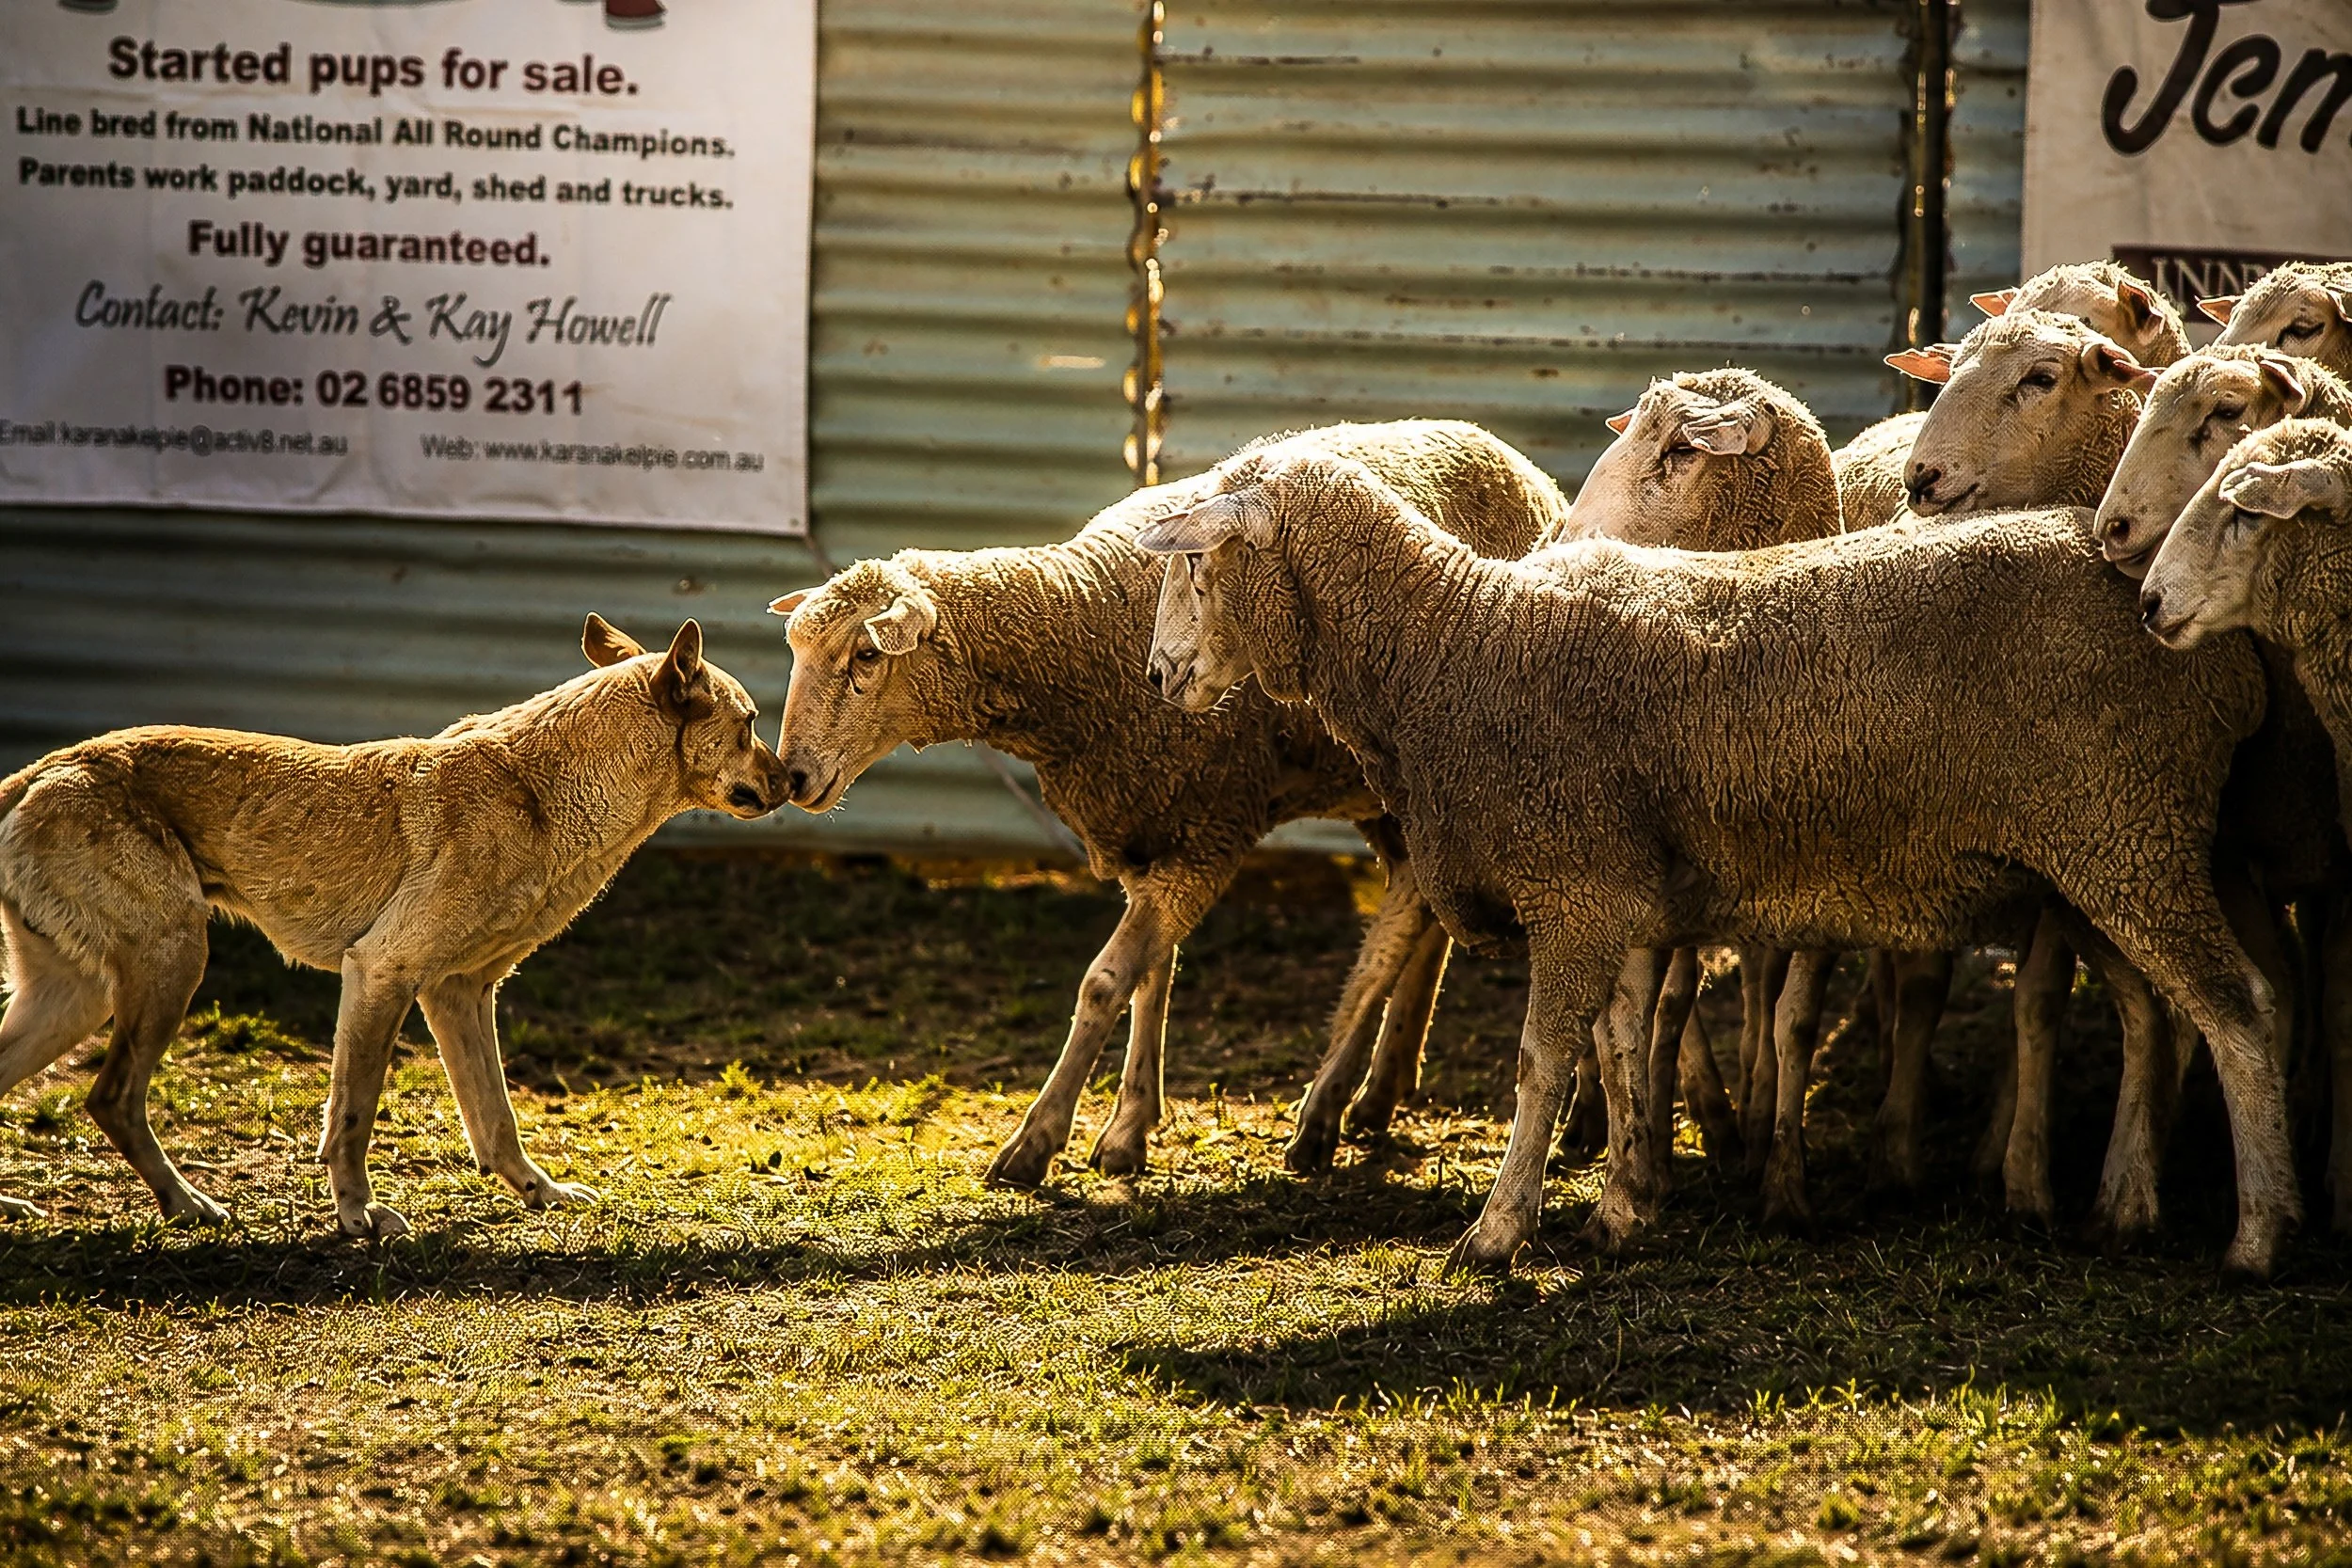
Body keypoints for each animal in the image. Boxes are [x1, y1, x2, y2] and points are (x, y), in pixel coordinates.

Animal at [767, 421, 1569, 1188]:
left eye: (866, 656)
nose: (793, 776)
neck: (1075, 635)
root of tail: (1516, 461)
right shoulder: (1151, 822)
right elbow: (1153, 974)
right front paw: (1127, 1127)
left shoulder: (1208, 830)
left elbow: (1105, 982)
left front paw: (1036, 1141)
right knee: (1426, 919)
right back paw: (1382, 1088)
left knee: (1404, 923)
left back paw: (1335, 1108)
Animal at [1136, 447, 2296, 1278]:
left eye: (1195, 559)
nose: (1155, 676)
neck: (1454, 645)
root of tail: (2193, 632)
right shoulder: (1611, 891)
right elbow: (1614, 1053)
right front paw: (1623, 1206)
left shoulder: (1574, 883)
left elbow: (1541, 1062)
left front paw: (1498, 1231)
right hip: (2098, 853)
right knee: (2155, 1016)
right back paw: (2125, 1204)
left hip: (2128, 827)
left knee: (2238, 1007)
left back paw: (2258, 1236)